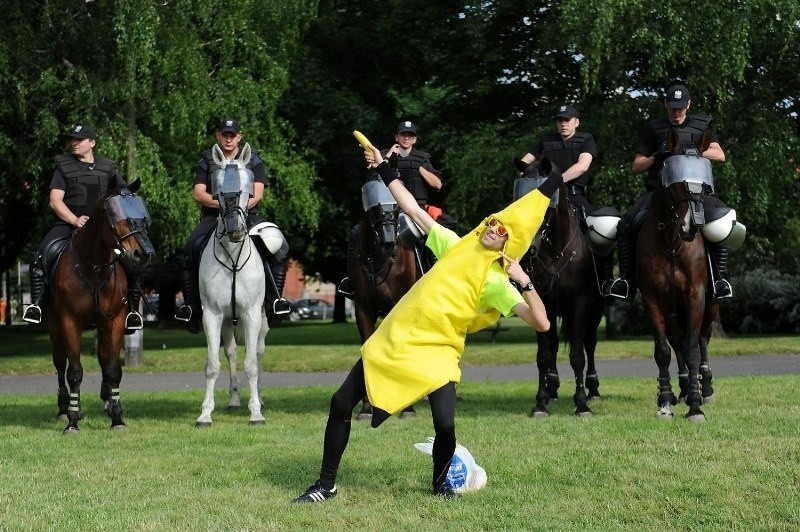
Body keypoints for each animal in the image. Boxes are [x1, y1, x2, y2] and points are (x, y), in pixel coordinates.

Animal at [47, 179, 155, 432]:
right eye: (116, 216)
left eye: (143, 216)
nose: (144, 254)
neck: (94, 267)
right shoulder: (69, 321)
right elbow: (74, 371)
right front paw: (73, 421)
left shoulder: (113, 320)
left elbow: (113, 367)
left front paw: (117, 416)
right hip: (54, 326)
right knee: (60, 361)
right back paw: (64, 409)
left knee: (103, 357)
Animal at [195, 142, 270, 428]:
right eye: (219, 191)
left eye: (247, 191)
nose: (236, 229)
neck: (233, 257)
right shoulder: (213, 315)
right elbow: (212, 365)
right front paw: (205, 414)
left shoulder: (251, 314)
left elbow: (252, 364)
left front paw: (256, 412)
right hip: (228, 321)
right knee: (231, 353)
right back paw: (235, 399)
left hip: (261, 321)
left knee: (256, 354)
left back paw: (259, 399)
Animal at [354, 181, 422, 418]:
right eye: (373, 208)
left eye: (395, 206)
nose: (390, 242)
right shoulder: (363, 310)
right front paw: (367, 408)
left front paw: (407, 408)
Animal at [520, 160, 608, 418]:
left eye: (543, 203)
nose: (528, 249)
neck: (557, 251)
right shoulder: (543, 304)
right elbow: (543, 354)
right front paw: (540, 402)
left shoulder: (580, 304)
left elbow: (577, 355)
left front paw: (582, 404)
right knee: (553, 345)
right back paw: (552, 389)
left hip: (596, 310)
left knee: (590, 343)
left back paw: (593, 389)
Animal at [636, 144, 724, 420]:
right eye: (675, 185)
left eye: (704, 186)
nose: (690, 226)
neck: (671, 243)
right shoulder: (652, 298)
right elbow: (663, 351)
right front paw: (665, 401)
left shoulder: (696, 295)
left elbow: (693, 348)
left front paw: (696, 405)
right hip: (672, 307)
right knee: (677, 341)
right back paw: (684, 387)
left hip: (711, 305)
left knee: (702, 339)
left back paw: (705, 388)